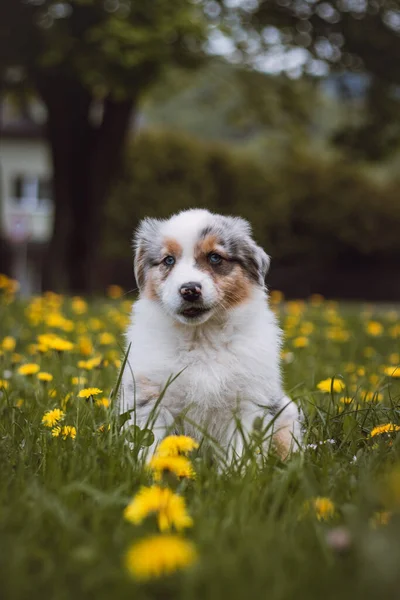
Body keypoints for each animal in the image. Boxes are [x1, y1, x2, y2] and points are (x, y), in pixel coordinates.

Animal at [120, 209, 302, 458]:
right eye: (169, 260)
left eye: (215, 258)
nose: (189, 289)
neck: (201, 336)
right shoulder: (151, 396)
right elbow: (152, 445)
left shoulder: (248, 402)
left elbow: (241, 451)